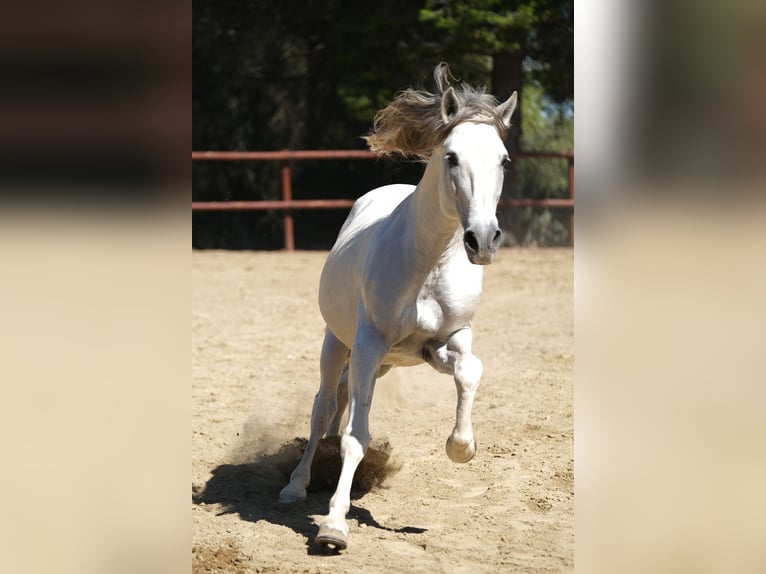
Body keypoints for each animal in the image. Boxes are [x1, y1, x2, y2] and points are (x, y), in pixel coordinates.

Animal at [280, 64, 520, 552]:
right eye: (451, 156)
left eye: (503, 160)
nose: (483, 240)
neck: (428, 260)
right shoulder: (370, 344)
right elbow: (355, 436)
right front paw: (334, 526)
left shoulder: (447, 341)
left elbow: (471, 371)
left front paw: (461, 448)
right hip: (340, 345)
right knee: (323, 407)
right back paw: (296, 486)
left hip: (383, 363)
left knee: (340, 402)